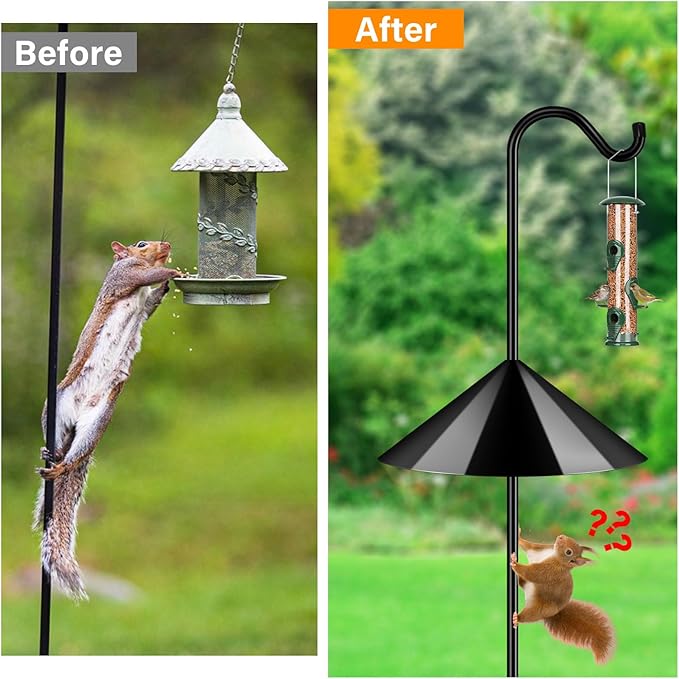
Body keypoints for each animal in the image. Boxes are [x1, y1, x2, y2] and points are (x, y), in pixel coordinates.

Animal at [32, 240, 181, 600]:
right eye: (141, 244)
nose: (167, 245)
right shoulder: (123, 277)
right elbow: (144, 277)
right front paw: (171, 272)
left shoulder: (144, 306)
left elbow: (150, 303)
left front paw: (165, 286)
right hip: (56, 404)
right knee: (57, 438)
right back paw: (51, 456)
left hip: (98, 419)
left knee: (75, 454)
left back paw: (61, 465)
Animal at [510, 530, 615, 664]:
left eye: (568, 552)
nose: (561, 536)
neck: (555, 556)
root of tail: (554, 613)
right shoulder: (540, 550)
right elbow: (530, 546)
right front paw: (518, 535)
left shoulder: (550, 572)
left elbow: (534, 573)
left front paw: (515, 564)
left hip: (540, 608)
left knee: (528, 615)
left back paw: (517, 618)